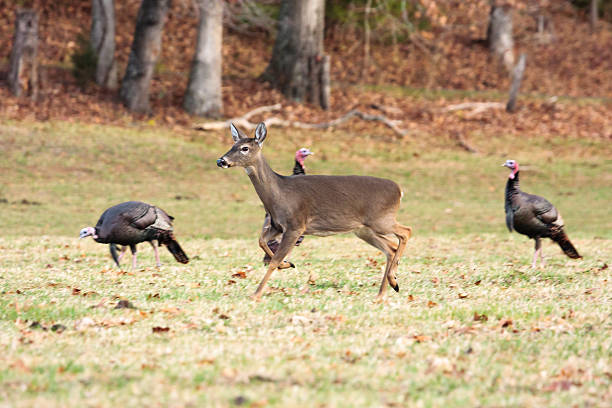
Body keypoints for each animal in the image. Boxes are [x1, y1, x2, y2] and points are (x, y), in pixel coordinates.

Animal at [215, 122, 412, 302]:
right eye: (232, 145)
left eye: (244, 148)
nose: (221, 161)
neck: (279, 193)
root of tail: (399, 190)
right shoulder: (277, 225)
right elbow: (262, 241)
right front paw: (288, 264)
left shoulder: (296, 225)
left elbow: (274, 261)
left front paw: (256, 294)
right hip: (364, 229)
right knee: (390, 248)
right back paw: (384, 291)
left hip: (381, 220)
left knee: (406, 232)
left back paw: (392, 281)